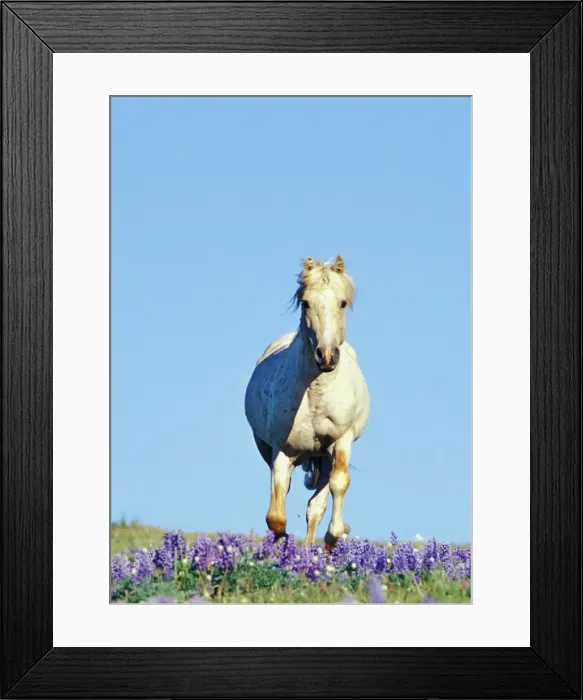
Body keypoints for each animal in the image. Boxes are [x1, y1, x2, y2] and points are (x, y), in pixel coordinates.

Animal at [244, 255, 370, 547]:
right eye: (306, 303)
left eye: (342, 302)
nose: (326, 356)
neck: (316, 392)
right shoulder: (282, 451)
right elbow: (276, 517)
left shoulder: (342, 441)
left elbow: (338, 484)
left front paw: (336, 533)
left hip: (324, 455)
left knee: (317, 506)